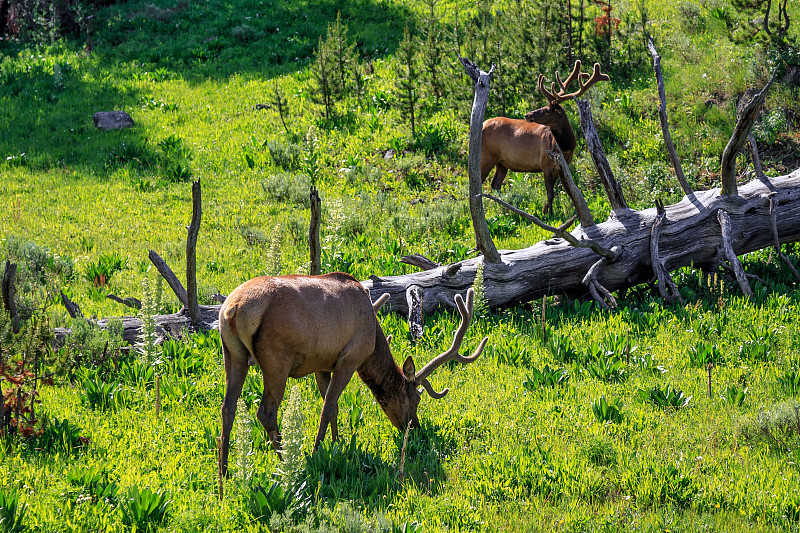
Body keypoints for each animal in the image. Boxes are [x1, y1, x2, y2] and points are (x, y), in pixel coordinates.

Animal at [216, 272, 488, 476]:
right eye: (416, 399)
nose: (415, 427)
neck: (374, 336)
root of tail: (234, 309)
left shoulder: (322, 363)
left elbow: (334, 407)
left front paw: (336, 444)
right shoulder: (350, 357)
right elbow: (327, 407)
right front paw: (317, 452)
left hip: (232, 353)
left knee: (227, 407)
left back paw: (224, 473)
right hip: (277, 358)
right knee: (266, 412)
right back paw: (288, 463)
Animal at [478, 61, 608, 213]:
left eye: (547, 110)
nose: (527, 114)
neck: (565, 147)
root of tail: (482, 125)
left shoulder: (562, 166)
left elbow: (557, 192)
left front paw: (548, 211)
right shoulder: (545, 163)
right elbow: (550, 192)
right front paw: (550, 214)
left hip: (502, 163)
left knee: (495, 185)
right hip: (486, 155)